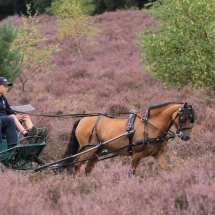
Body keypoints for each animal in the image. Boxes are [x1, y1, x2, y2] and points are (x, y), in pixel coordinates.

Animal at [61, 103, 195, 176]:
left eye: (192, 118)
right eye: (182, 118)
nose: (187, 136)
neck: (150, 125)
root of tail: (82, 120)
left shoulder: (158, 154)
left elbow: (166, 169)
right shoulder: (137, 155)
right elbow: (131, 173)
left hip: (96, 151)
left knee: (88, 169)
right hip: (88, 149)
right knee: (76, 165)